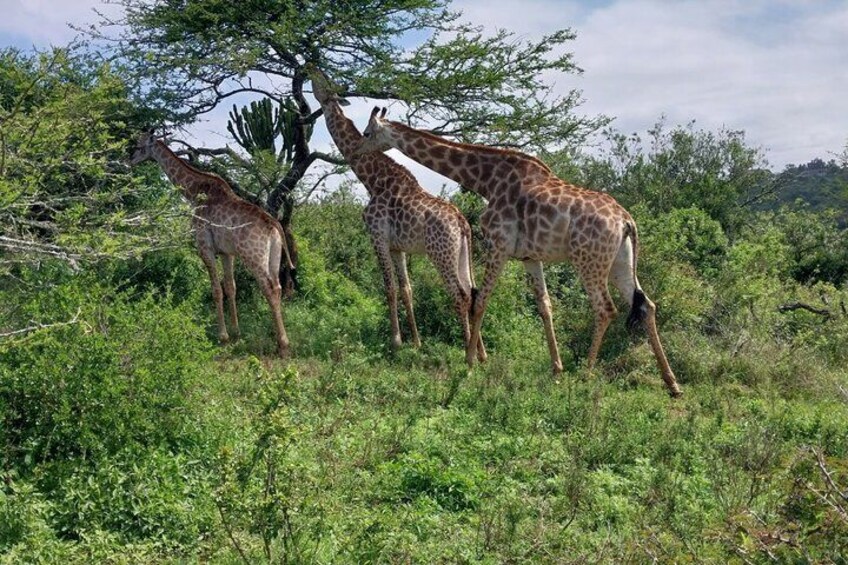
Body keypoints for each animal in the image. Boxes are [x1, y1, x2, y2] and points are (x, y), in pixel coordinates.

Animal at [130, 132, 293, 357]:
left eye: (139, 146)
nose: (128, 160)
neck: (193, 192)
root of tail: (274, 224)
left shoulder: (204, 247)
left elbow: (216, 290)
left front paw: (223, 337)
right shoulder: (226, 252)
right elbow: (231, 287)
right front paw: (236, 333)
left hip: (252, 255)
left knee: (268, 288)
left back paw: (283, 345)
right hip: (274, 256)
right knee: (277, 287)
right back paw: (281, 340)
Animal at [308, 67, 485, 358]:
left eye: (324, 81)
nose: (310, 67)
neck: (372, 179)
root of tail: (462, 223)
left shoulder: (377, 235)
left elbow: (389, 288)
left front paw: (396, 341)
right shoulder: (397, 247)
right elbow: (406, 289)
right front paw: (416, 342)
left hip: (441, 254)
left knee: (459, 295)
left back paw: (467, 357)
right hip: (462, 255)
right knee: (472, 293)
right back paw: (481, 353)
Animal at [354, 108, 682, 396]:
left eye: (367, 132)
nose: (358, 152)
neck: (486, 181)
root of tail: (626, 221)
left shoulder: (497, 245)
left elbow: (479, 300)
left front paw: (470, 363)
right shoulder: (529, 257)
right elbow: (544, 306)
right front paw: (556, 369)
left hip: (589, 261)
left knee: (606, 309)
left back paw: (586, 376)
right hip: (620, 263)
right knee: (647, 305)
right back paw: (672, 383)